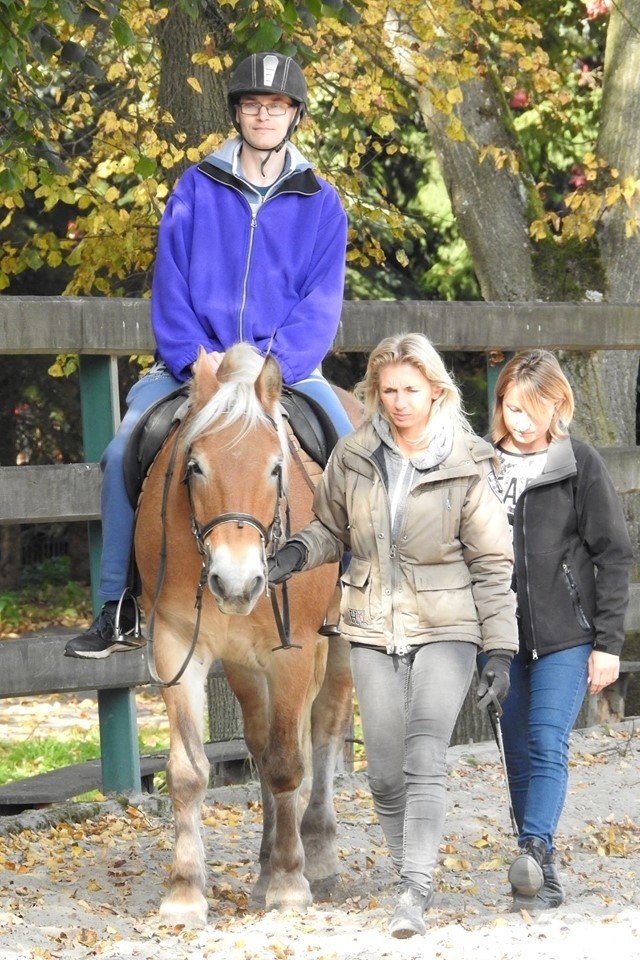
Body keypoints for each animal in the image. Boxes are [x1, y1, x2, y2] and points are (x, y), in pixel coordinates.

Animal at [134, 342, 360, 928]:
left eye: (276, 467)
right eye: (195, 465)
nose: (236, 581)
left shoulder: (294, 653)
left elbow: (287, 765)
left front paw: (289, 882)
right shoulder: (176, 647)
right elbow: (189, 771)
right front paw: (185, 890)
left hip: (338, 643)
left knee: (324, 730)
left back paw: (317, 854)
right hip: (242, 663)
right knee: (259, 740)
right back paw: (264, 863)